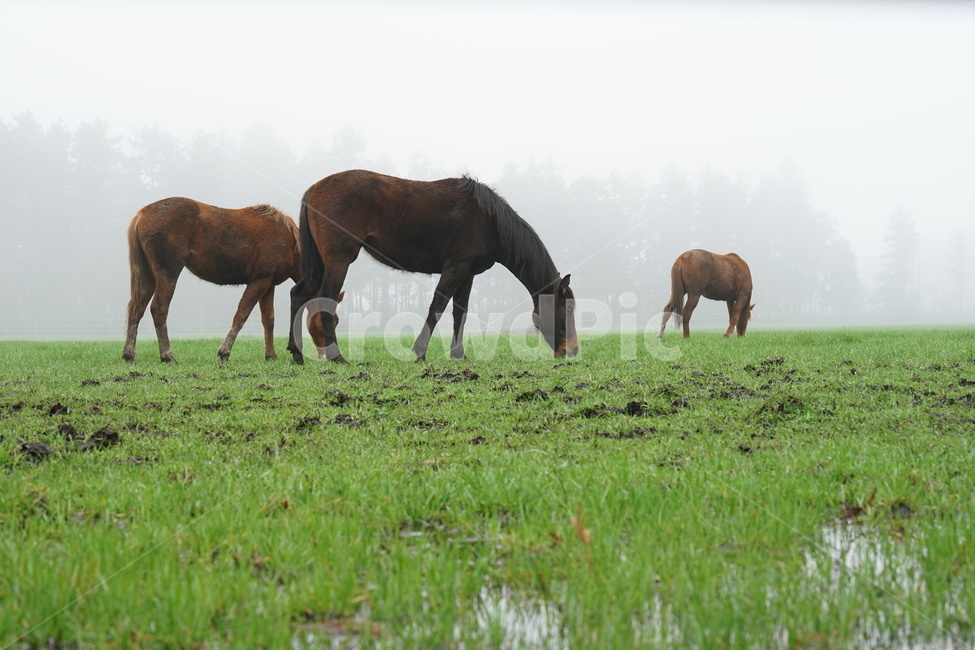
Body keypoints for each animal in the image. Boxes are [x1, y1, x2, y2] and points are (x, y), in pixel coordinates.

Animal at [122, 197, 337, 363]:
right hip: (168, 273)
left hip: (149, 275)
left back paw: (129, 354)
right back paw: (168, 355)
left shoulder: (268, 285)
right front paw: (224, 351)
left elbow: (268, 320)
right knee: (159, 309)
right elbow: (241, 315)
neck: (287, 240)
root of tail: (143, 213)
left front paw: (270, 355)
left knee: (137, 308)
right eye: (331, 321)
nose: (326, 354)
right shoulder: (259, 282)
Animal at [287, 169, 578, 364]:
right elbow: (437, 307)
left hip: (320, 265)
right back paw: (337, 357)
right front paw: (420, 352)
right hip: (338, 260)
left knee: (298, 295)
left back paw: (297, 354)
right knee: (323, 300)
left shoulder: (468, 274)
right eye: (568, 308)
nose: (572, 351)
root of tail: (314, 189)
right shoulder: (456, 267)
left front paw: (458, 354)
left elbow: (460, 312)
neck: (489, 220)